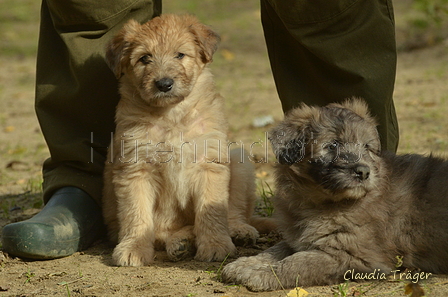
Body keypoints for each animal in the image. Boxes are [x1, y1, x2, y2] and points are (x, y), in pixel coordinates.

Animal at [102, 14, 264, 266]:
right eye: (144, 58)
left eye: (180, 55)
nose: (164, 84)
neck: (172, 116)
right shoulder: (135, 169)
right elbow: (136, 214)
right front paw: (134, 248)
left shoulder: (209, 164)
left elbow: (212, 211)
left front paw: (215, 245)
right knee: (165, 232)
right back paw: (182, 241)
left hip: (240, 162)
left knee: (235, 212)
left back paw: (238, 231)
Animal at [222, 98, 448, 290]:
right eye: (333, 145)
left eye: (367, 147)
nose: (363, 172)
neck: (322, 202)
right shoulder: (300, 237)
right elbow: (275, 250)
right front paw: (244, 264)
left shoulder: (352, 255)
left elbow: (299, 262)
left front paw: (259, 274)